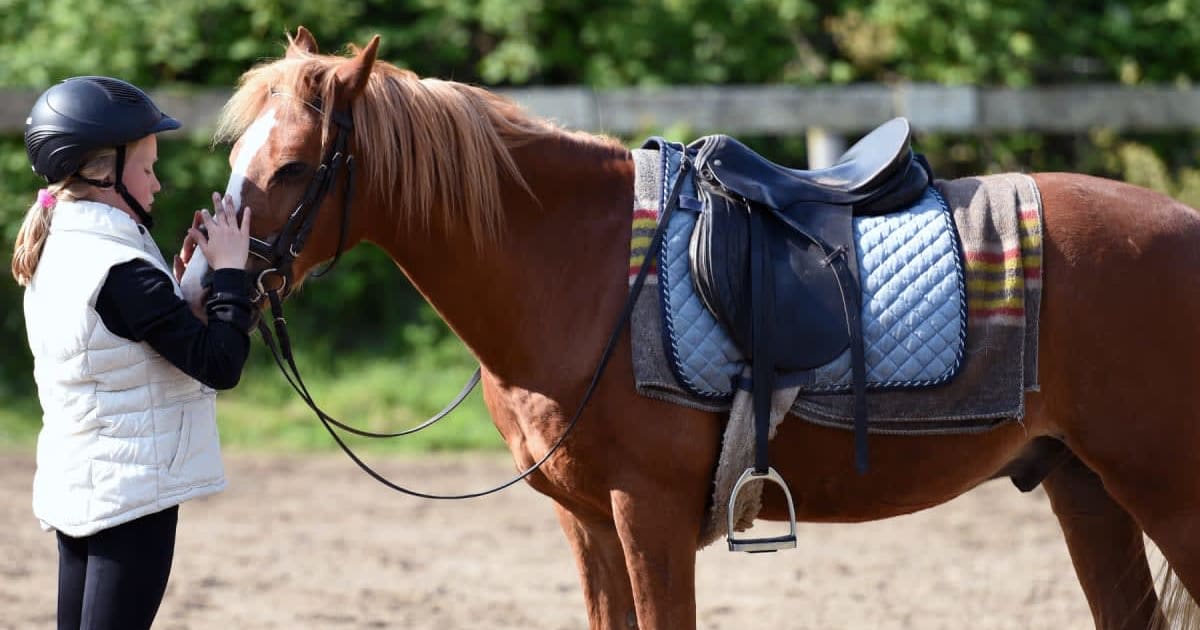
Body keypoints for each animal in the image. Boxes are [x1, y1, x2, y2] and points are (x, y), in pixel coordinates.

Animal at [214, 28, 1200, 629]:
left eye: (294, 166)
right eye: (237, 155)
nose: (205, 278)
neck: (578, 267)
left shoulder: (644, 514)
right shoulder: (587, 524)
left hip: (1166, 494)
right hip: (1086, 488)